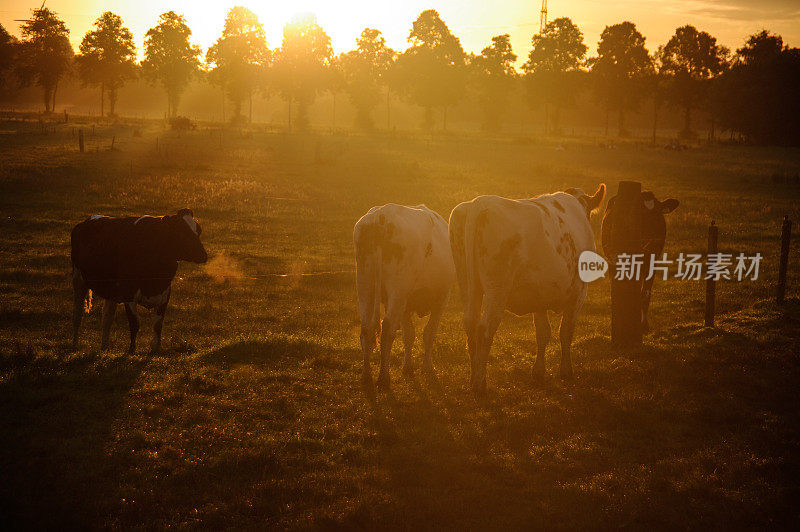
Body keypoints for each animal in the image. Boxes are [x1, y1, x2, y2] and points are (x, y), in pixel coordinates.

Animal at [71, 208, 208, 354]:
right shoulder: (128, 292)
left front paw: (156, 348)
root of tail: (86, 220)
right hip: (78, 280)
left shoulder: (165, 293)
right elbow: (134, 322)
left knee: (107, 318)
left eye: (198, 230)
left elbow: (158, 324)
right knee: (77, 315)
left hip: (111, 290)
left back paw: (105, 348)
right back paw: (74, 345)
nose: (203, 255)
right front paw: (132, 350)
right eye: (182, 231)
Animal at [354, 202, 454, 388]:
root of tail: (382, 215)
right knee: (387, 329)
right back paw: (383, 378)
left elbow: (409, 335)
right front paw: (427, 368)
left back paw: (366, 376)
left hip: (365, 284)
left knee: (366, 329)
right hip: (397, 290)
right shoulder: (441, 299)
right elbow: (428, 333)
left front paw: (407, 367)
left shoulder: (405, 305)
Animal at [450, 185, 608, 392]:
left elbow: (543, 333)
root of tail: (481, 201)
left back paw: (473, 378)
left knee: (470, 324)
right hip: (497, 290)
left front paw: (538, 372)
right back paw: (479, 384)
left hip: (468, 284)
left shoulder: (539, 295)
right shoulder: (579, 294)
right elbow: (565, 332)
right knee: (484, 329)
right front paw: (566, 371)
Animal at [604, 190, 680, 332]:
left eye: (658, 211)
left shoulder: (652, 262)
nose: (655, 235)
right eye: (641, 212)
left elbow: (645, 293)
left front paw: (643, 324)